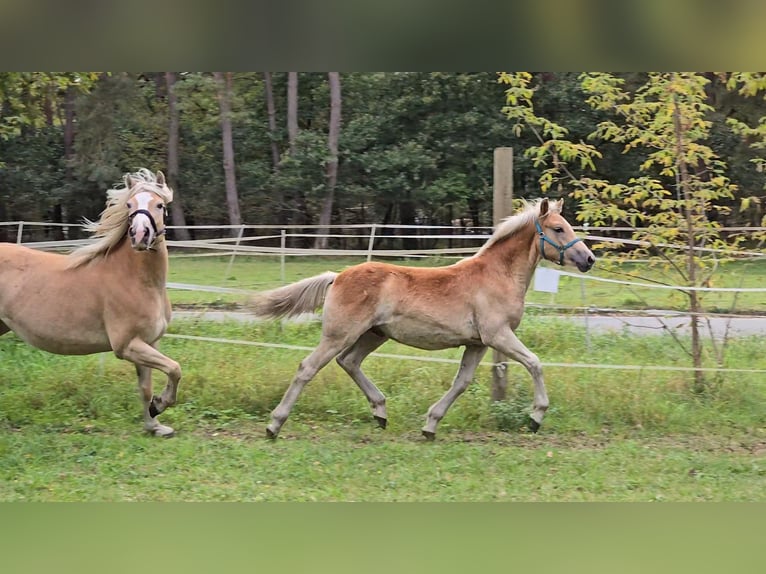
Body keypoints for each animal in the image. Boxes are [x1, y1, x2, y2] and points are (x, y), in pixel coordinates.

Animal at [0, 169, 182, 438]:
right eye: (129, 205)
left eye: (160, 205)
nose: (139, 235)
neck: (138, 280)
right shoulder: (127, 345)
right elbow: (174, 368)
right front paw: (160, 405)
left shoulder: (149, 342)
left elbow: (146, 387)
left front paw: (155, 424)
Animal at [252, 198, 600, 440]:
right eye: (558, 228)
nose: (589, 259)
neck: (496, 276)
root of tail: (337, 276)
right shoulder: (498, 335)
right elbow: (535, 363)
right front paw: (535, 418)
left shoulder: (477, 344)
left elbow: (462, 382)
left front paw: (430, 426)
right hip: (340, 334)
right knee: (308, 368)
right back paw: (274, 426)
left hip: (374, 334)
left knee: (349, 362)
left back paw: (380, 413)